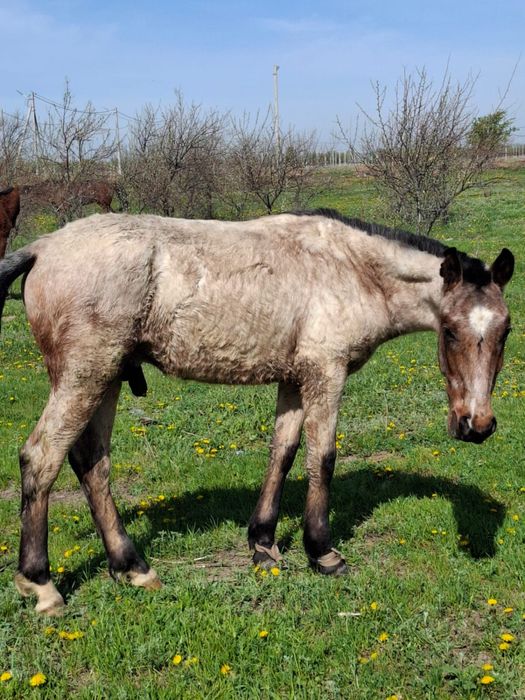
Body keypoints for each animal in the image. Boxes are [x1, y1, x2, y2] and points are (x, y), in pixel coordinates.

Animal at [0, 209, 514, 615]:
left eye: (506, 330)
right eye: (450, 331)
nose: (477, 425)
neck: (349, 269)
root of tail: (43, 248)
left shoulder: (295, 379)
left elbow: (282, 452)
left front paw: (263, 544)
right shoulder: (326, 374)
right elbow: (321, 458)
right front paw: (322, 552)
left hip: (106, 380)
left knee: (92, 465)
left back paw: (131, 567)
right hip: (85, 377)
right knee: (41, 458)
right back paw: (41, 584)